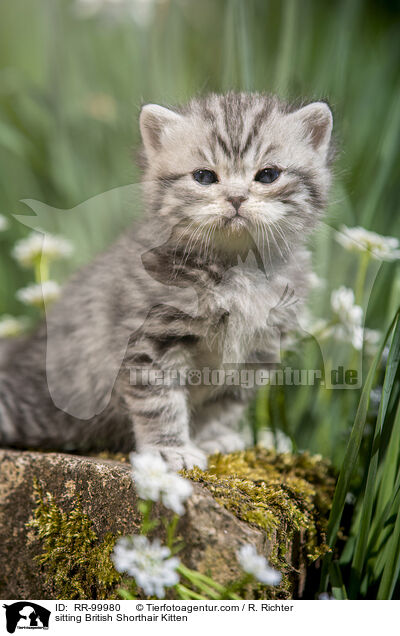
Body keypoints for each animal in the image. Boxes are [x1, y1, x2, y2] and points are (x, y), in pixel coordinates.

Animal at [0, 92, 332, 470]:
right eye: (204, 176)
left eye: (268, 174)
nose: (236, 198)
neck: (236, 271)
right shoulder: (150, 339)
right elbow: (160, 402)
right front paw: (170, 449)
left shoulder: (257, 351)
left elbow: (224, 403)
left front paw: (211, 437)